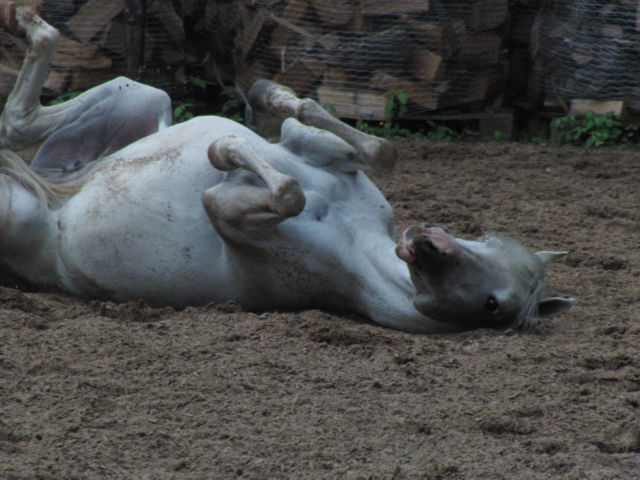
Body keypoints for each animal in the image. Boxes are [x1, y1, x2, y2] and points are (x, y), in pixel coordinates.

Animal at [0, 3, 568, 332]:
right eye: (489, 237)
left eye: (495, 305)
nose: (425, 242)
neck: (356, 239)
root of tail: (56, 201)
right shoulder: (320, 153)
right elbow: (373, 147)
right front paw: (268, 96)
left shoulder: (226, 208)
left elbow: (286, 190)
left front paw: (225, 148)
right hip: (138, 92)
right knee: (17, 124)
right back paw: (27, 22)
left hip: (14, 209)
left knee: (13, 127)